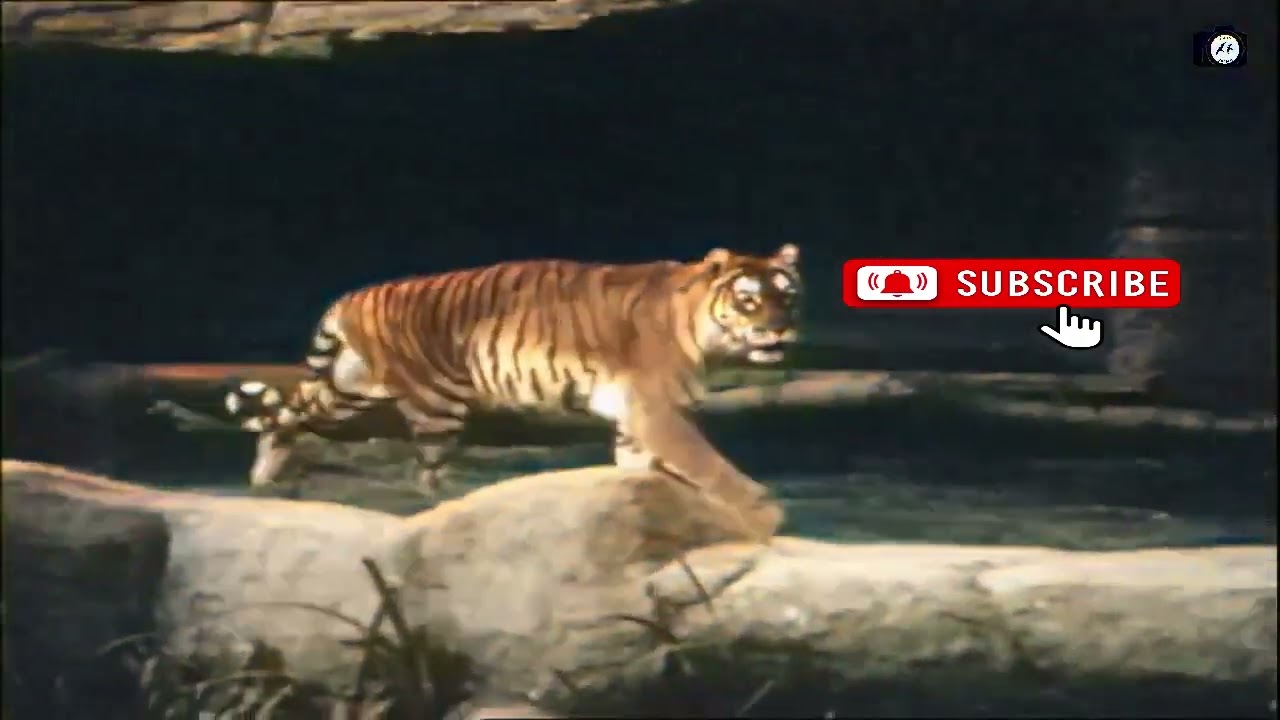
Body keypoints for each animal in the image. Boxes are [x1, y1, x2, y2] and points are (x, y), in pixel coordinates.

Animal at [223, 244, 803, 537]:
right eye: (749, 300)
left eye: (787, 296)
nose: (779, 330)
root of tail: (354, 296)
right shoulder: (657, 410)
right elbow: (710, 464)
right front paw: (762, 514)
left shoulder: (636, 420)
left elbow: (646, 470)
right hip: (435, 405)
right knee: (424, 474)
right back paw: (442, 506)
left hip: (351, 384)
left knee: (288, 410)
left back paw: (265, 471)